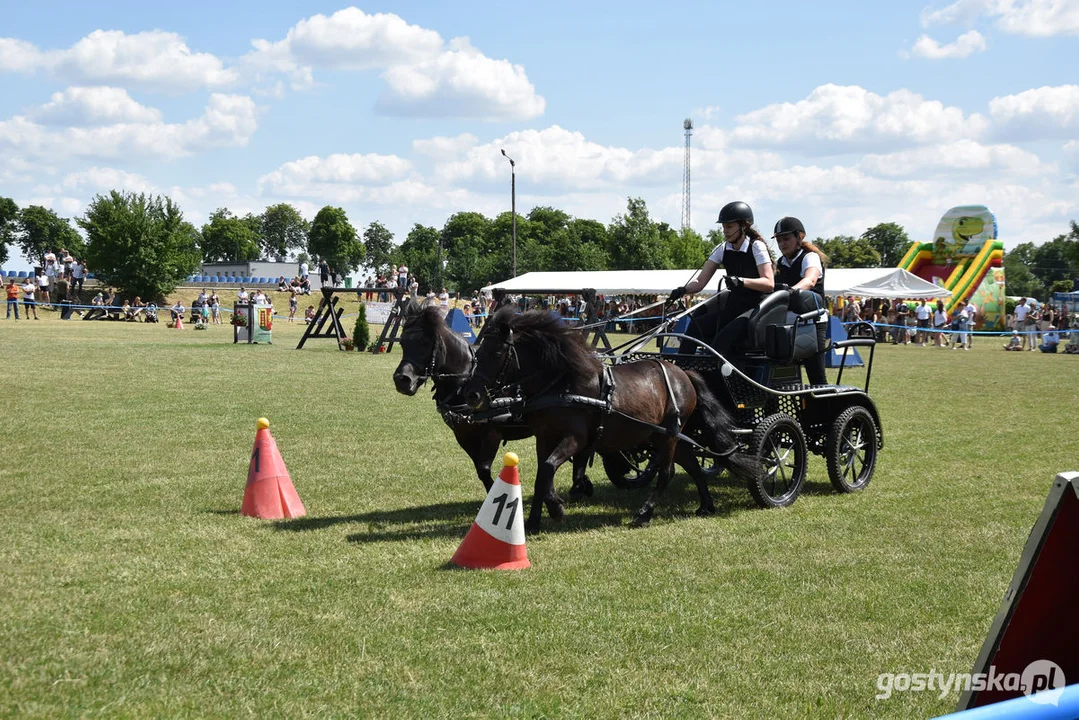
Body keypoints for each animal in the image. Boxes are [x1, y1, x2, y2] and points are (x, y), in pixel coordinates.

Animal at [392, 302, 595, 515]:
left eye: (424, 343)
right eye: (403, 342)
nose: (402, 381)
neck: (463, 382)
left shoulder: (492, 434)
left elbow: (484, 468)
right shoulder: (463, 436)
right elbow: (481, 471)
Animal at [463, 306, 759, 533]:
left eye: (496, 353)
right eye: (478, 352)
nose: (472, 393)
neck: (563, 382)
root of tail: (684, 373)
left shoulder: (575, 438)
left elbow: (547, 468)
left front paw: (557, 508)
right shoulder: (544, 438)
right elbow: (541, 476)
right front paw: (535, 521)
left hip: (669, 436)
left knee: (667, 473)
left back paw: (644, 514)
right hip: (666, 435)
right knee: (693, 466)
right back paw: (706, 505)